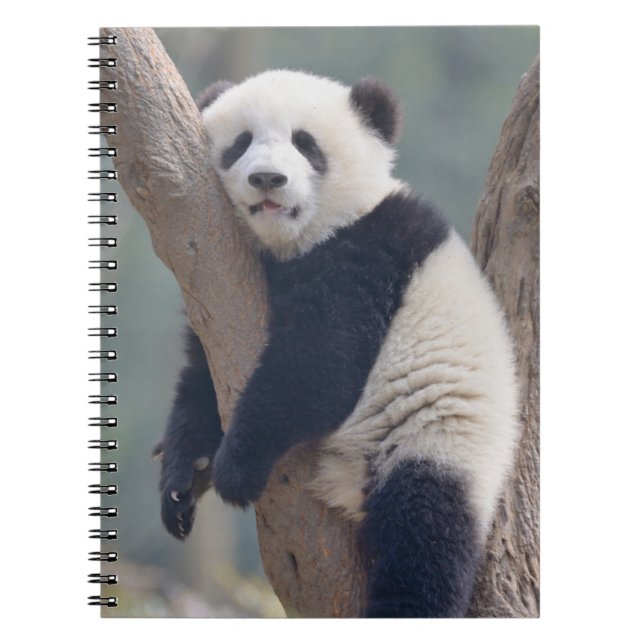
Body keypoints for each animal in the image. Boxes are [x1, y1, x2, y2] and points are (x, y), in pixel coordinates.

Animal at [155, 69, 519, 618]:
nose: (268, 179)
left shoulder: (370, 252)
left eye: (306, 144)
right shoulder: (215, 289)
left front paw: (235, 468)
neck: (296, 241)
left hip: (438, 439)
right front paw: (182, 480)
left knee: (425, 536)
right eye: (241, 143)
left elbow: (322, 367)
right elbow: (202, 376)